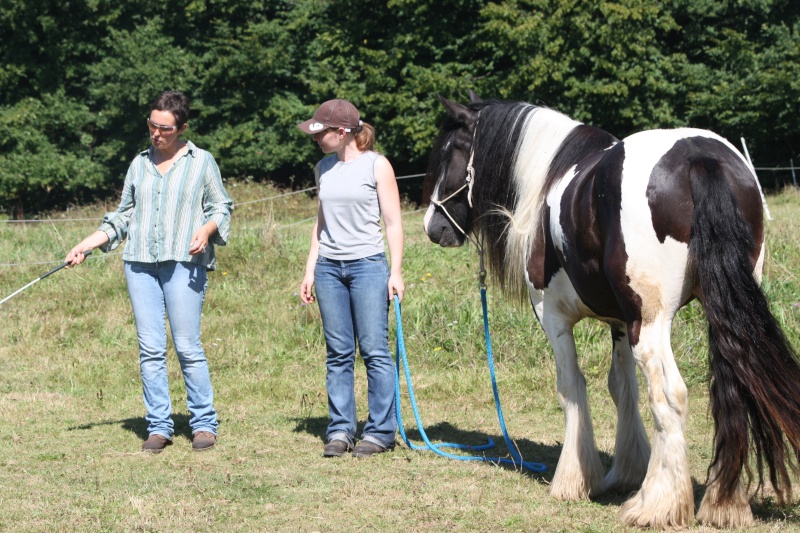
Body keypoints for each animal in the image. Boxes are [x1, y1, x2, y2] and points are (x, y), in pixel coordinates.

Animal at [422, 92, 800, 528]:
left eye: (452, 150)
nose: (433, 227)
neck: (549, 178)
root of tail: (699, 158)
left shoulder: (554, 319)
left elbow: (572, 387)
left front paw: (574, 481)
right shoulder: (620, 322)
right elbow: (621, 387)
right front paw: (628, 470)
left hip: (651, 325)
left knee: (670, 394)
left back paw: (657, 504)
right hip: (716, 312)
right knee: (732, 388)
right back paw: (723, 503)